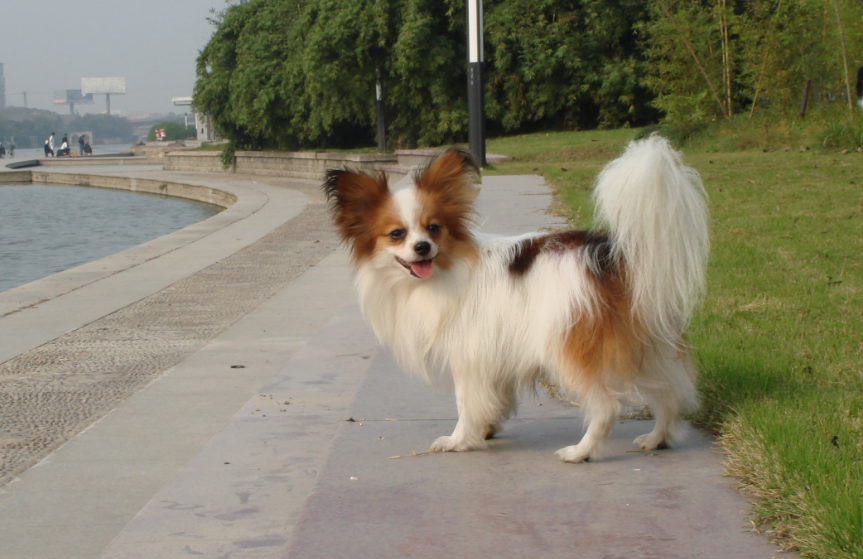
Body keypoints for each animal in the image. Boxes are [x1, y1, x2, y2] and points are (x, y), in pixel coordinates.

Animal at [324, 137, 708, 464]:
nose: (422, 248)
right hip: (651, 345)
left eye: (433, 228)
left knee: (607, 407)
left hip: (567, 347)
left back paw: (581, 452)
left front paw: (459, 440)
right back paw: (658, 438)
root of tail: (609, 253)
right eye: (396, 234)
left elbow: (466, 403)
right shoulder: (494, 353)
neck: (447, 267)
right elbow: (494, 399)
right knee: (671, 392)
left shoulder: (469, 355)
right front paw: (487, 429)